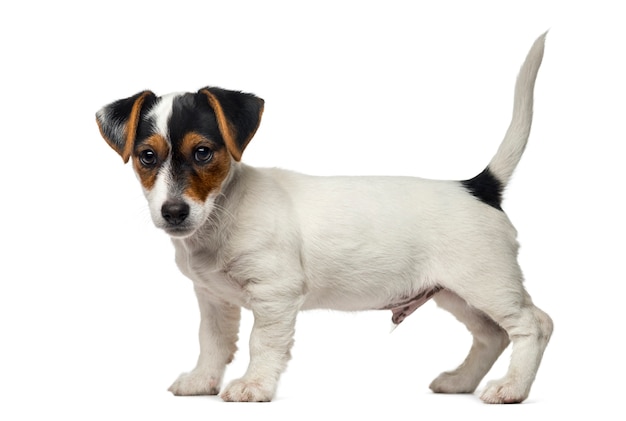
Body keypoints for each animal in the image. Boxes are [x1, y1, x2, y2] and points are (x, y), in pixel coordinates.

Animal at [94, 33, 552, 404]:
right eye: (147, 156)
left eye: (203, 152)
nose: (174, 212)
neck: (224, 211)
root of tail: (479, 187)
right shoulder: (213, 298)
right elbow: (213, 342)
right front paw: (202, 380)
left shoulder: (275, 294)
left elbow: (262, 344)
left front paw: (253, 386)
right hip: (456, 293)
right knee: (492, 335)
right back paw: (462, 382)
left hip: (486, 283)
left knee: (534, 325)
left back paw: (512, 388)